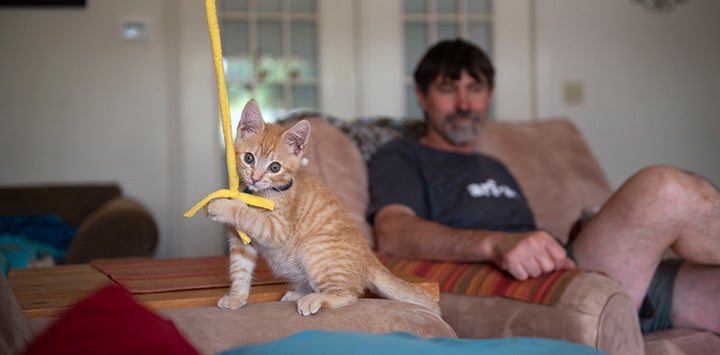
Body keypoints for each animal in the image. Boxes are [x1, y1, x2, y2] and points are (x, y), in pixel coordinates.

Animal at [205, 100, 436, 318]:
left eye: (274, 167)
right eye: (249, 158)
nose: (255, 178)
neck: (258, 193)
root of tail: (370, 259)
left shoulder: (278, 229)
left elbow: (250, 216)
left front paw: (223, 205)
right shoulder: (240, 241)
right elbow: (240, 270)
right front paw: (237, 297)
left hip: (313, 249)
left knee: (350, 294)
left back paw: (314, 299)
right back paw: (300, 293)